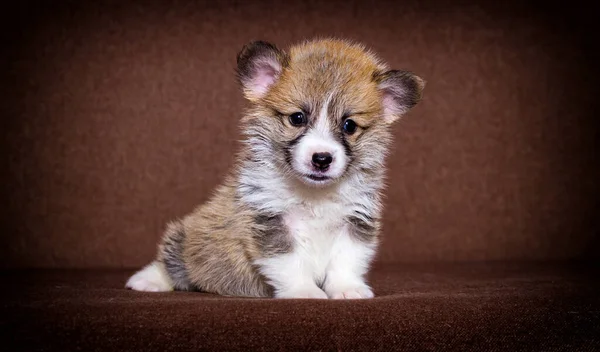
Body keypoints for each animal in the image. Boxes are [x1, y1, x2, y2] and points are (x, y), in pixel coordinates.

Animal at [125, 37, 426, 296]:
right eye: (297, 118)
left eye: (349, 125)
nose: (322, 159)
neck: (313, 195)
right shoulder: (271, 222)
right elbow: (291, 264)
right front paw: (305, 292)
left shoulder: (355, 221)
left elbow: (346, 261)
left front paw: (347, 289)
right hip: (184, 236)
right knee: (170, 263)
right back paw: (147, 280)